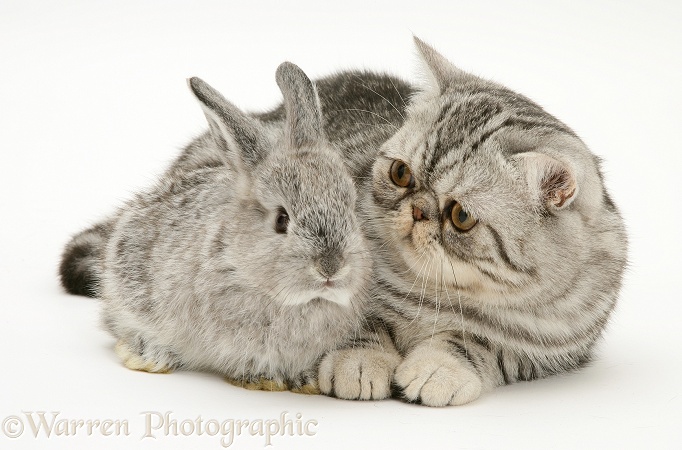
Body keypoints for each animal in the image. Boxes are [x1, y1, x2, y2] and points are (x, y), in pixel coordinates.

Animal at [97, 63, 370, 394]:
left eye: (350, 208)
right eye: (281, 220)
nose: (330, 267)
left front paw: (306, 380)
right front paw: (265, 379)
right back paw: (149, 355)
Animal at [318, 37, 628, 406]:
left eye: (461, 216)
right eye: (400, 174)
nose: (417, 210)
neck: (437, 291)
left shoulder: (540, 350)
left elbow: (478, 342)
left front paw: (439, 368)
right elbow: (357, 319)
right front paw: (359, 359)